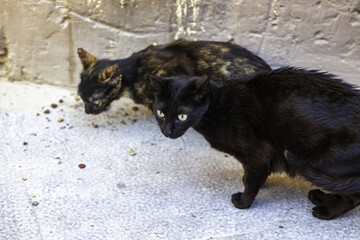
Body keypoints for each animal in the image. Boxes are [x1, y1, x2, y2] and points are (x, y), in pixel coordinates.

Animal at [150, 67, 360, 219]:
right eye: (160, 113)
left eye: (182, 116)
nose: (167, 131)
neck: (219, 107)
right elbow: (257, 174)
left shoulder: (257, 152)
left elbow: (252, 181)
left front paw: (243, 202)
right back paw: (321, 197)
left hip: (324, 162)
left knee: (353, 196)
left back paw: (326, 211)